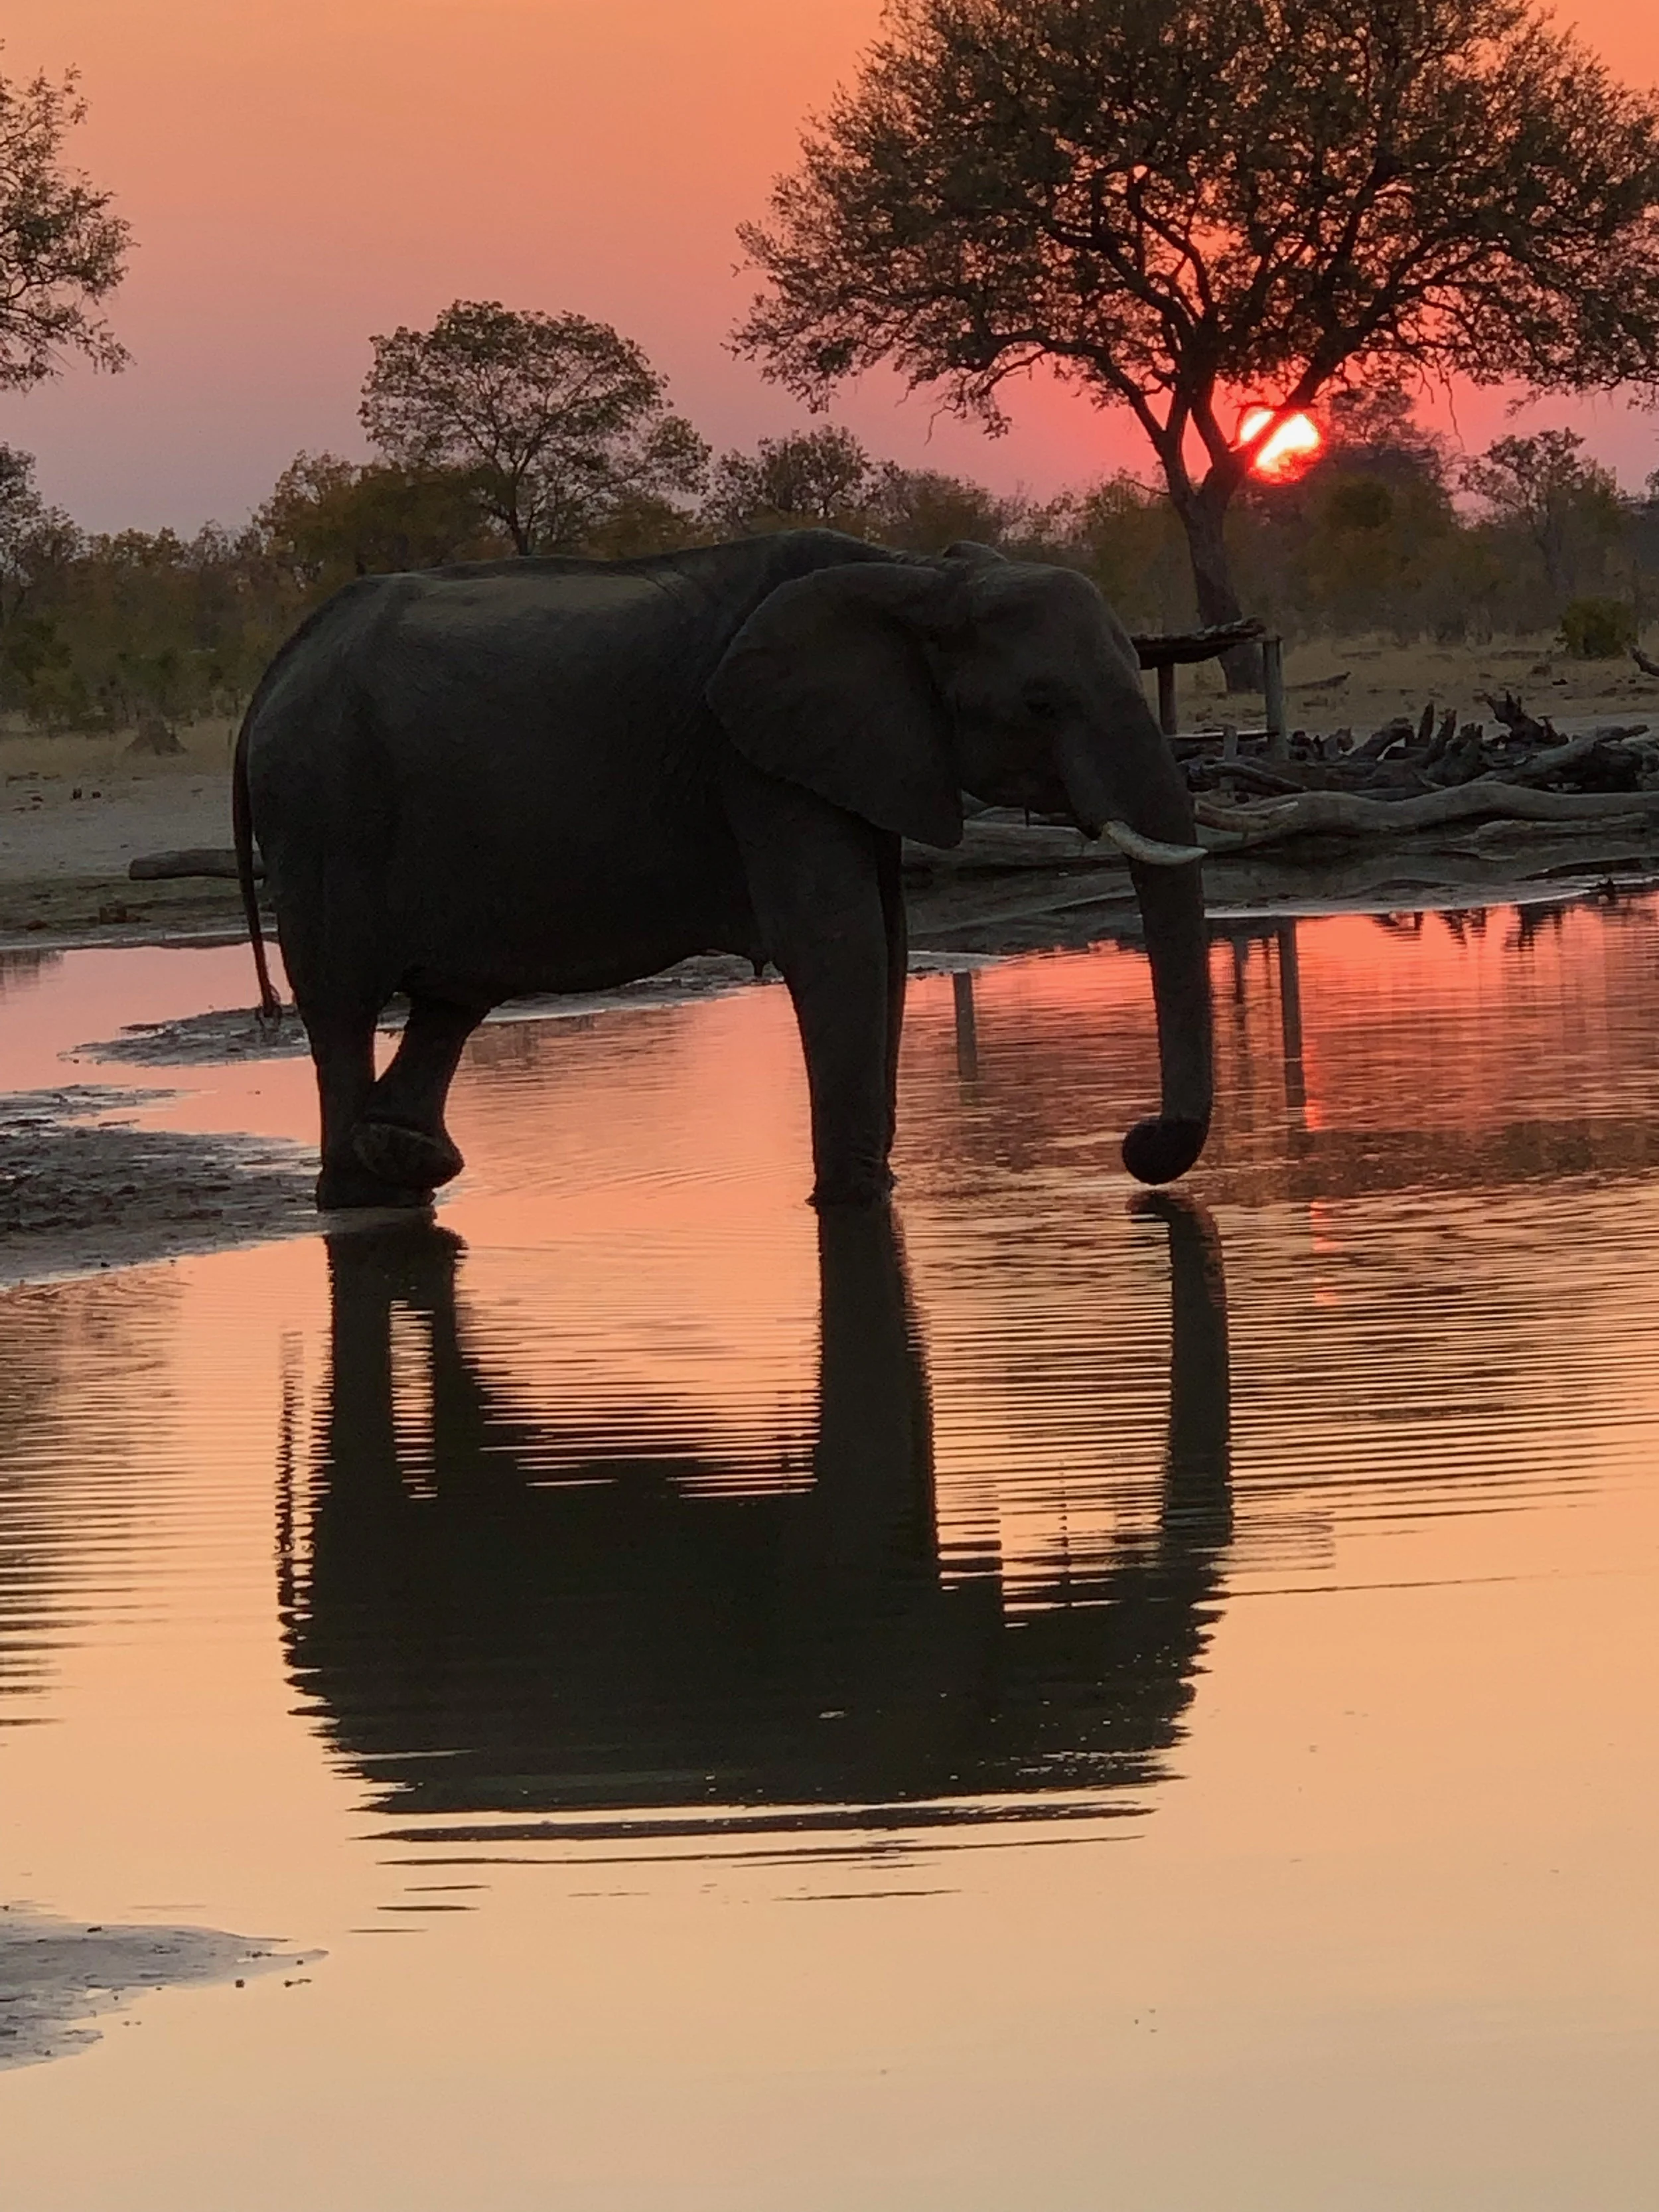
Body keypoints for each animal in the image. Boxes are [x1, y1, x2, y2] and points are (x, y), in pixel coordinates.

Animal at [233, 530, 1213, 1210]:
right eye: (1041, 704)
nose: (1137, 1143)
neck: (916, 577)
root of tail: (278, 664)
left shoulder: (857, 754)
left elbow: (890, 943)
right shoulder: (757, 766)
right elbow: (839, 946)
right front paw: (851, 1203)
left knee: (451, 997)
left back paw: (407, 1162)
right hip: (325, 808)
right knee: (344, 1003)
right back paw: (363, 1194)